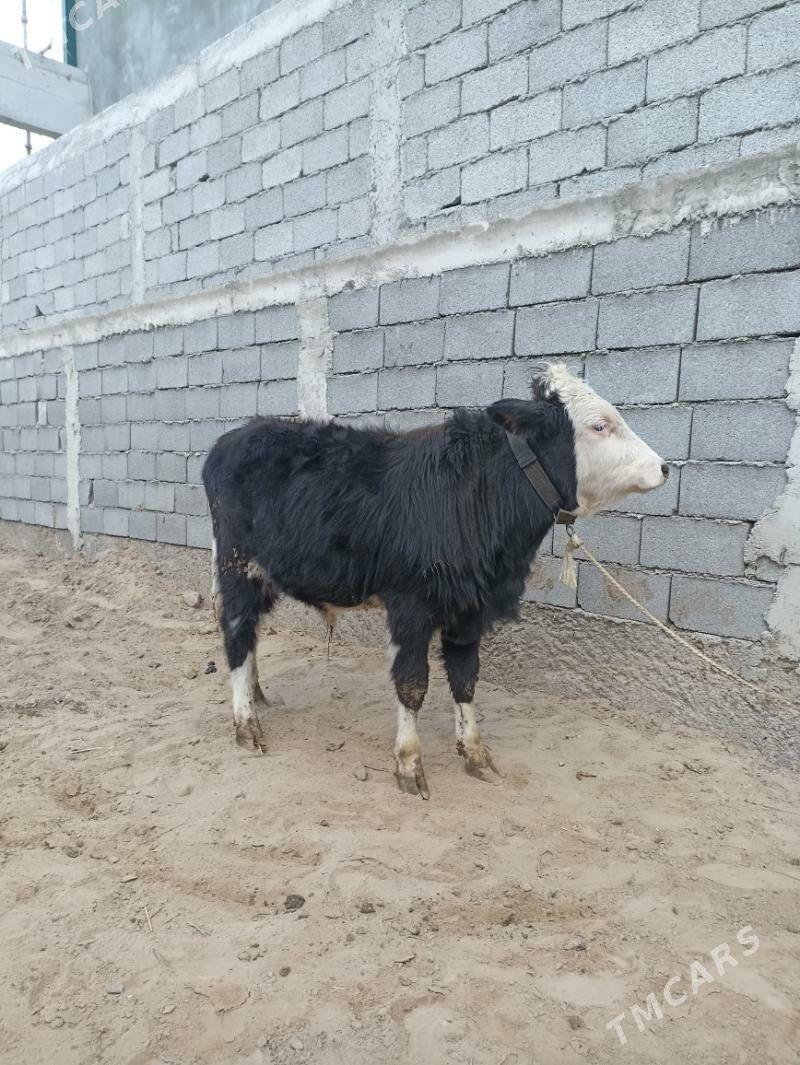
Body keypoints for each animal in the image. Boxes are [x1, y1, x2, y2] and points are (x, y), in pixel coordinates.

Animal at [202, 362, 668, 798]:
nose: (663, 467)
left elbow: (465, 679)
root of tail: (237, 436)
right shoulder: (411, 607)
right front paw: (409, 763)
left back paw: (257, 693)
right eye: (599, 425)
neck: (475, 492)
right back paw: (246, 723)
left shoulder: (470, 609)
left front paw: (475, 753)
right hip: (238, 568)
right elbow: (412, 684)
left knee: (249, 635)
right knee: (236, 634)